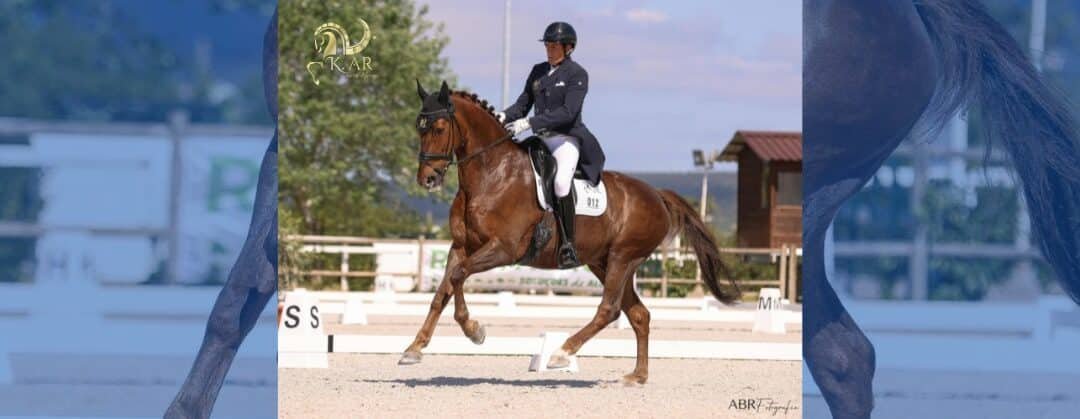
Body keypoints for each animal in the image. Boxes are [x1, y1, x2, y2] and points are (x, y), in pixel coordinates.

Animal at [403, 80, 741, 384]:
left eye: (439, 128)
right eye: (419, 128)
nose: (427, 179)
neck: (491, 174)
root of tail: (657, 195)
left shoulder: (504, 248)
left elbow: (459, 276)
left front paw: (474, 331)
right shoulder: (461, 246)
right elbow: (443, 290)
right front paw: (414, 348)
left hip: (623, 257)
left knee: (609, 309)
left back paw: (561, 353)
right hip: (603, 262)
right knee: (638, 314)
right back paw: (637, 376)